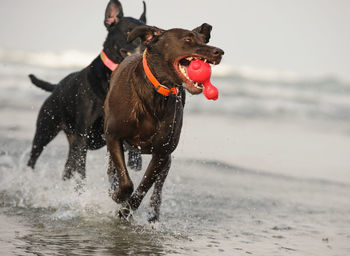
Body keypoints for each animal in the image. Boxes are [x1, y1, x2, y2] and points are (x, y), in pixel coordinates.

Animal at [27, 0, 145, 180]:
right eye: (129, 32)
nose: (147, 46)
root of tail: (57, 86)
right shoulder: (83, 135)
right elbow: (81, 171)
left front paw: (135, 160)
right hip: (45, 129)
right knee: (35, 157)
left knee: (68, 166)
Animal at [104, 23, 224, 221]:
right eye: (188, 39)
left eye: (204, 40)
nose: (219, 52)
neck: (156, 91)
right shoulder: (113, 136)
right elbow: (126, 182)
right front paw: (118, 196)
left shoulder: (162, 153)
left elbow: (143, 188)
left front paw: (126, 211)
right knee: (112, 169)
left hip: (167, 159)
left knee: (157, 190)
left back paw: (153, 214)